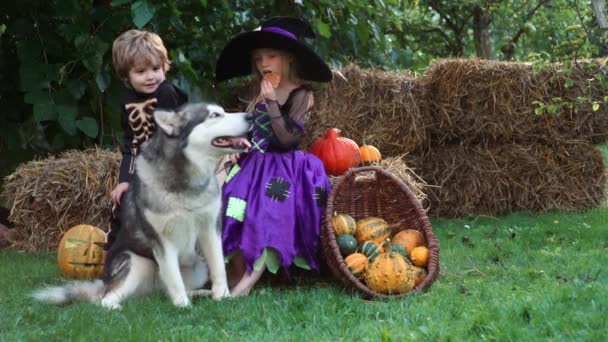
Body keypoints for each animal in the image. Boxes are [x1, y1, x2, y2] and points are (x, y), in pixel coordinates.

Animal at [33, 103, 252, 308]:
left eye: (222, 111)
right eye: (215, 115)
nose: (251, 116)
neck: (186, 184)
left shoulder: (210, 229)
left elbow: (219, 267)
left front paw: (222, 297)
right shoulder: (163, 241)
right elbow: (174, 277)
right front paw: (183, 306)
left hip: (198, 266)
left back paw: (199, 293)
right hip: (137, 263)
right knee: (104, 300)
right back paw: (117, 307)